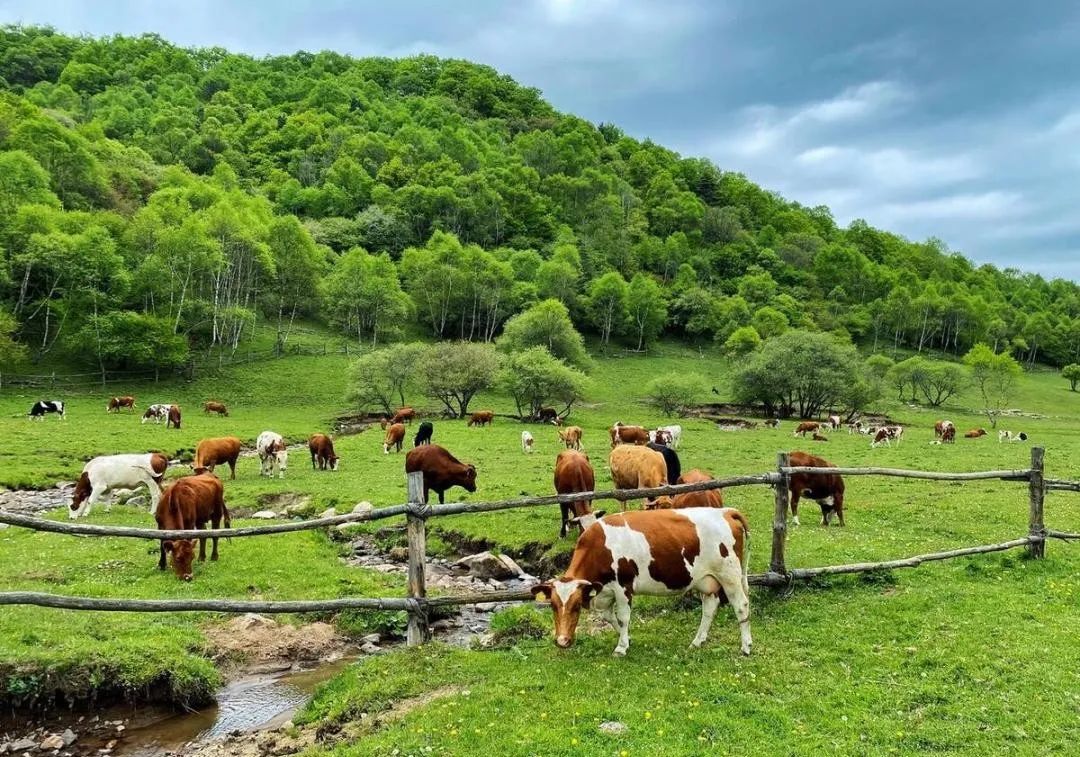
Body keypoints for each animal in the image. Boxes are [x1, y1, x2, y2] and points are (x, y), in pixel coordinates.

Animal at [531, 507, 751, 656]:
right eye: (552, 606)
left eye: (576, 606)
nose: (562, 641)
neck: (600, 547)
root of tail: (726, 511)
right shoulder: (603, 592)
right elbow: (609, 617)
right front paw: (626, 638)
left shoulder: (623, 587)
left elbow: (623, 617)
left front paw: (621, 647)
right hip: (706, 580)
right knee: (709, 608)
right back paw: (697, 641)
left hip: (730, 576)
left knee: (741, 606)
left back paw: (746, 647)